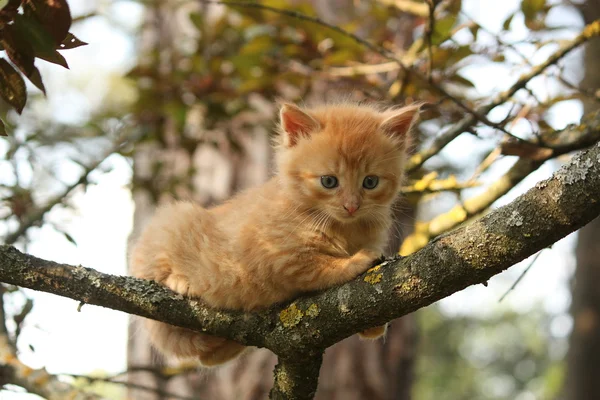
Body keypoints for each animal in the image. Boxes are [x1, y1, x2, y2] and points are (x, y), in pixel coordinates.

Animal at [129, 100, 420, 366]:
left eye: (370, 182)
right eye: (329, 181)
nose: (351, 206)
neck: (343, 226)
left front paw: (375, 326)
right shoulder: (277, 256)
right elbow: (320, 267)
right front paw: (357, 260)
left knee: (209, 358)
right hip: (173, 218)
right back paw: (180, 280)